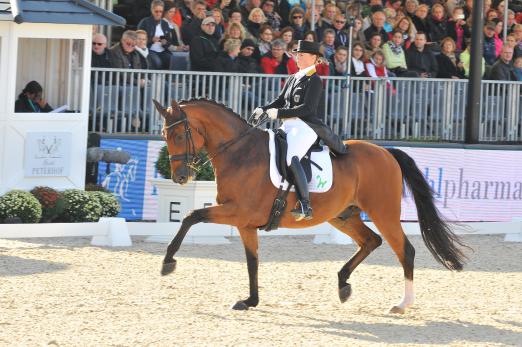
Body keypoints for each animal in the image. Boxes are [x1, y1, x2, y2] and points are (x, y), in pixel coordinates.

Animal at [152, 98, 466, 316]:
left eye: (179, 136)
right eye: (165, 136)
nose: (180, 177)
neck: (240, 153)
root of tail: (385, 152)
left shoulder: (238, 212)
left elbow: (190, 216)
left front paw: (168, 262)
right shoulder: (244, 223)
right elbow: (252, 261)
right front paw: (251, 300)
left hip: (383, 212)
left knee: (405, 250)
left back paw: (402, 304)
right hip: (342, 216)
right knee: (370, 241)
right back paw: (343, 284)